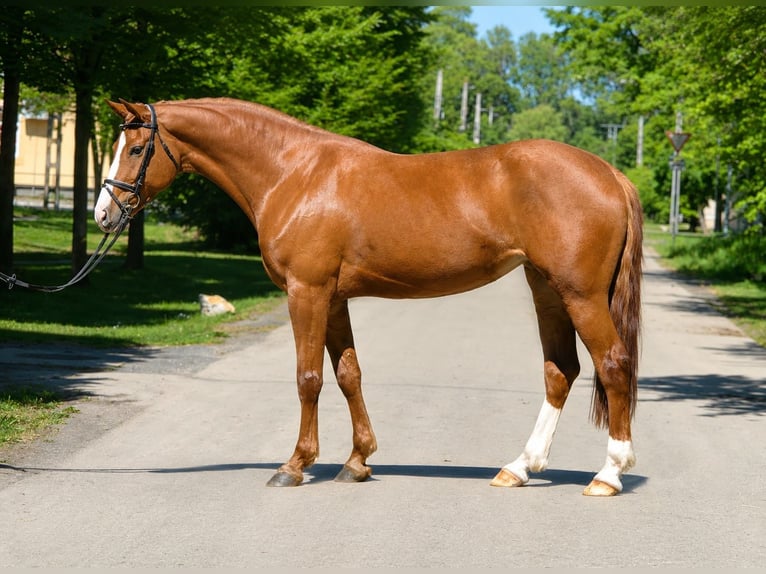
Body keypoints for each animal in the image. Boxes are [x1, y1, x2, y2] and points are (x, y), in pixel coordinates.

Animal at [95, 98, 642, 496]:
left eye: (137, 148)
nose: (104, 213)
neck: (293, 173)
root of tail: (610, 173)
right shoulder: (334, 299)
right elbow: (348, 375)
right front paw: (357, 461)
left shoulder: (307, 293)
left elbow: (309, 378)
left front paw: (294, 465)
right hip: (546, 290)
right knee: (561, 372)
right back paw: (519, 467)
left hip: (581, 295)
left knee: (612, 363)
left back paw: (608, 475)